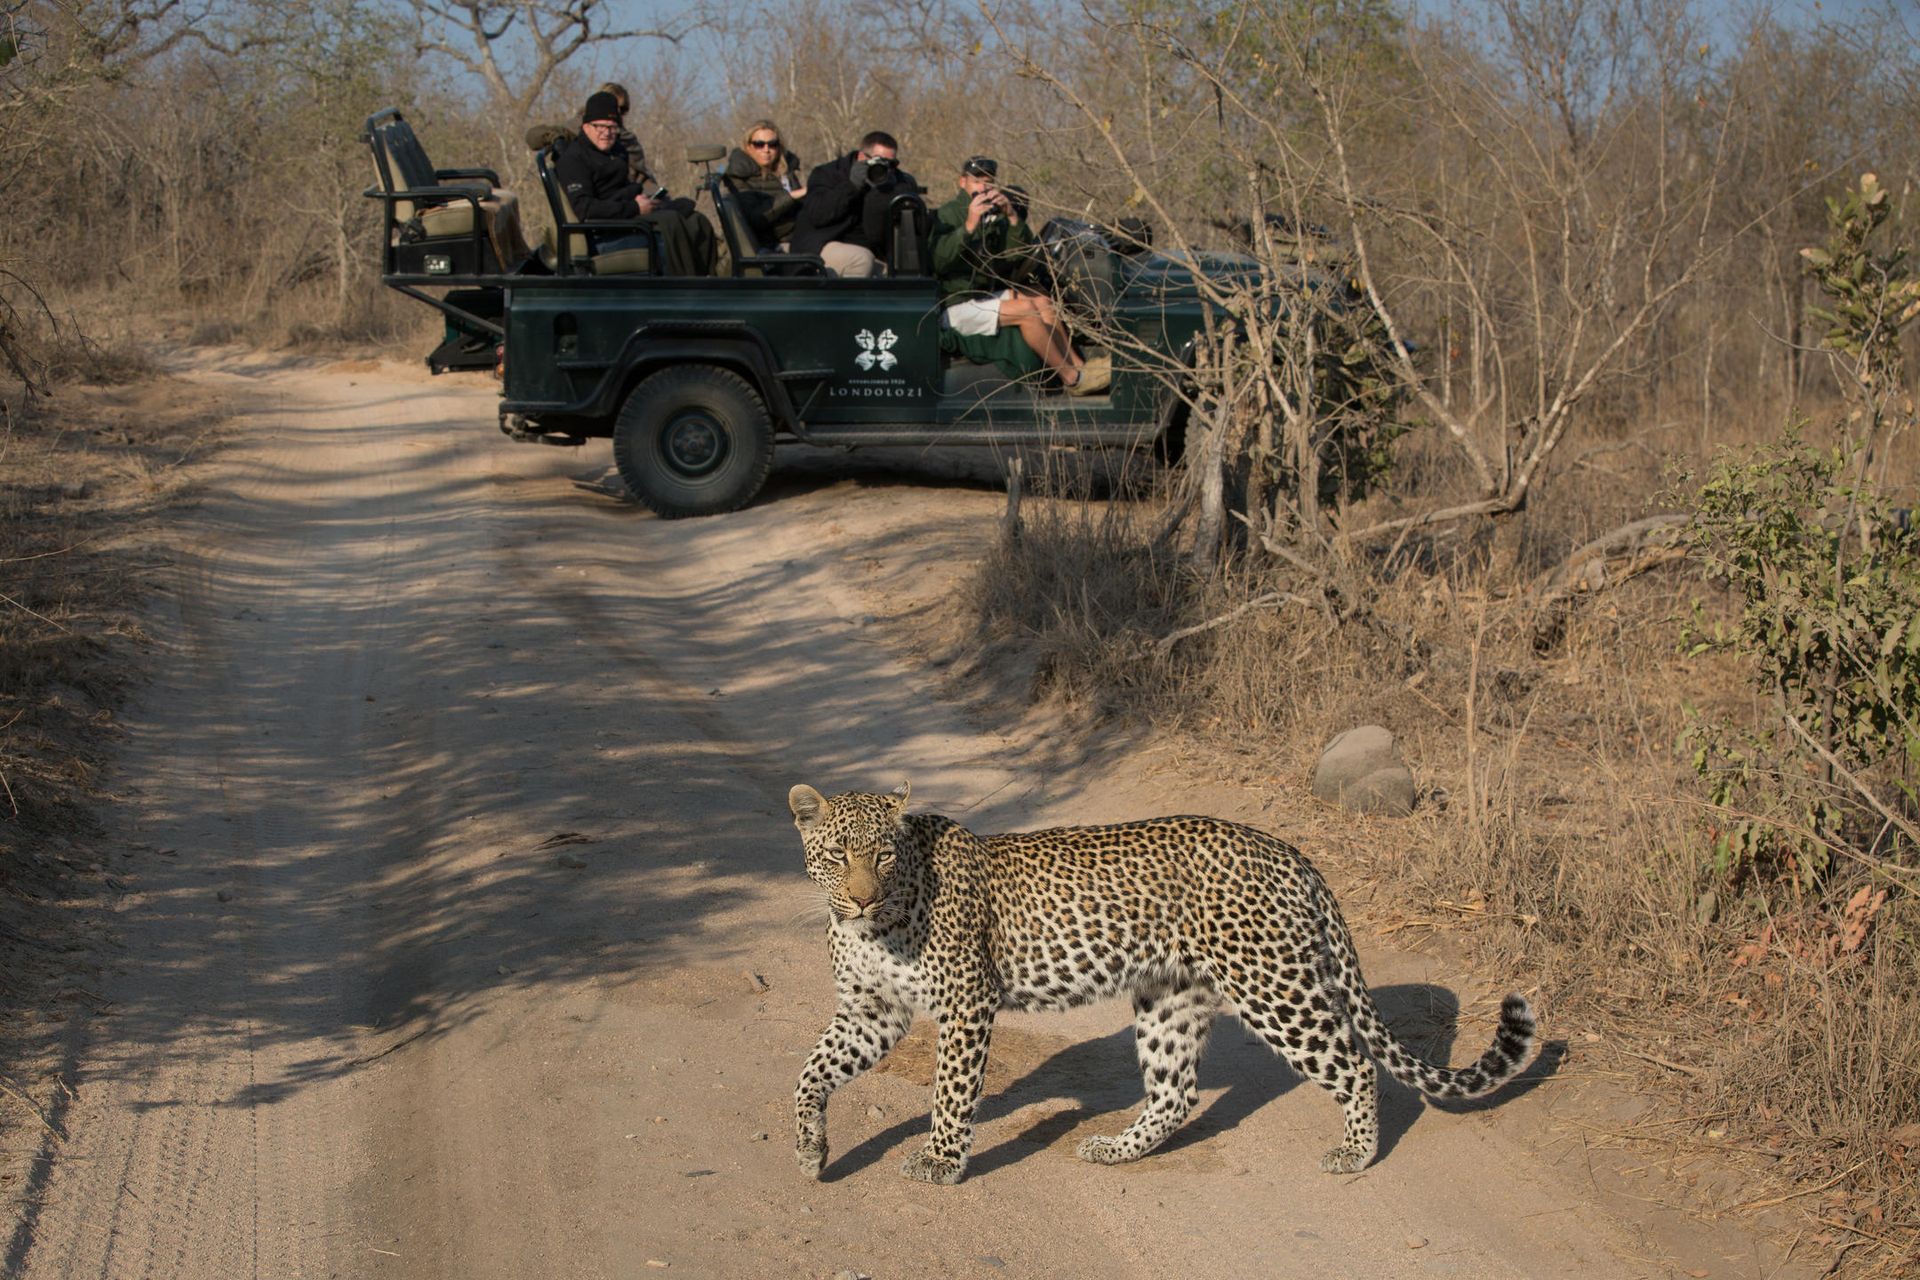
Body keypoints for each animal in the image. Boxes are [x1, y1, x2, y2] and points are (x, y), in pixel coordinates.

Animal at [788, 781, 1537, 1186]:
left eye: (884, 855)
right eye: (838, 856)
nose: (861, 898)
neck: (876, 924)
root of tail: (1289, 852)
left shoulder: (967, 1005)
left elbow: (950, 1094)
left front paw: (941, 1162)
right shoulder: (871, 1012)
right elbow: (810, 1073)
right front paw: (809, 1149)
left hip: (1273, 986)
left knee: (1353, 1063)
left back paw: (1355, 1153)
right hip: (1169, 997)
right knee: (1176, 1091)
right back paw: (1115, 1149)